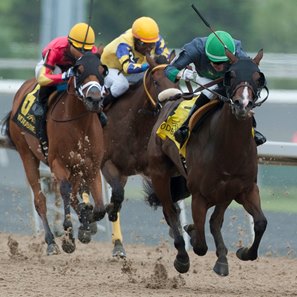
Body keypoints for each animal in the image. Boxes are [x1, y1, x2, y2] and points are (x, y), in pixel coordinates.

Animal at [0, 52, 107, 254]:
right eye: (78, 70)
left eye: (102, 70)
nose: (95, 99)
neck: (79, 124)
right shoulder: (58, 162)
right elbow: (65, 191)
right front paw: (68, 238)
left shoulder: (91, 166)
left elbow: (99, 208)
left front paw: (86, 225)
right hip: (27, 154)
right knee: (40, 199)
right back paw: (51, 241)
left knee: (74, 195)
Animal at [100, 51, 178, 254]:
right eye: (156, 82)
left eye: (178, 80)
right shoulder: (107, 163)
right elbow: (117, 195)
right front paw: (108, 210)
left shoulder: (152, 167)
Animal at [145, 49, 268, 276]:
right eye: (231, 75)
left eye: (258, 77)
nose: (243, 104)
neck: (228, 148)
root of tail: (171, 99)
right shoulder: (199, 195)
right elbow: (201, 244)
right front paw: (191, 238)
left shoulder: (244, 189)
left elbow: (261, 223)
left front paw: (243, 252)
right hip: (160, 173)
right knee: (171, 212)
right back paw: (182, 256)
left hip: (220, 192)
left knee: (214, 221)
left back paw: (221, 258)